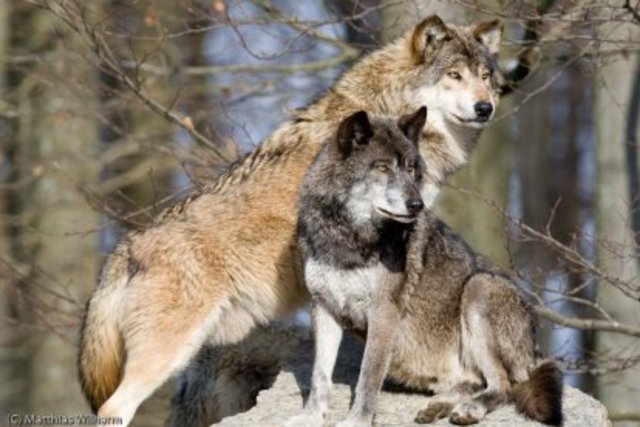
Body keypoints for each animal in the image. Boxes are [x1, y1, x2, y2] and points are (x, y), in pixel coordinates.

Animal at [78, 15, 504, 426]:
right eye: (454, 74)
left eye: (485, 76)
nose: (486, 108)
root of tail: (125, 248)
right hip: (170, 349)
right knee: (114, 407)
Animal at [288, 108, 563, 427]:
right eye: (382, 168)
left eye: (411, 168)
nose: (417, 204)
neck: (347, 237)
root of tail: (535, 349)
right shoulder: (324, 307)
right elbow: (319, 376)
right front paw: (311, 416)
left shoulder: (383, 312)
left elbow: (368, 378)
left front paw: (357, 421)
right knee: (473, 381)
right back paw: (439, 407)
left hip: (479, 287)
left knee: (503, 385)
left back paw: (470, 409)